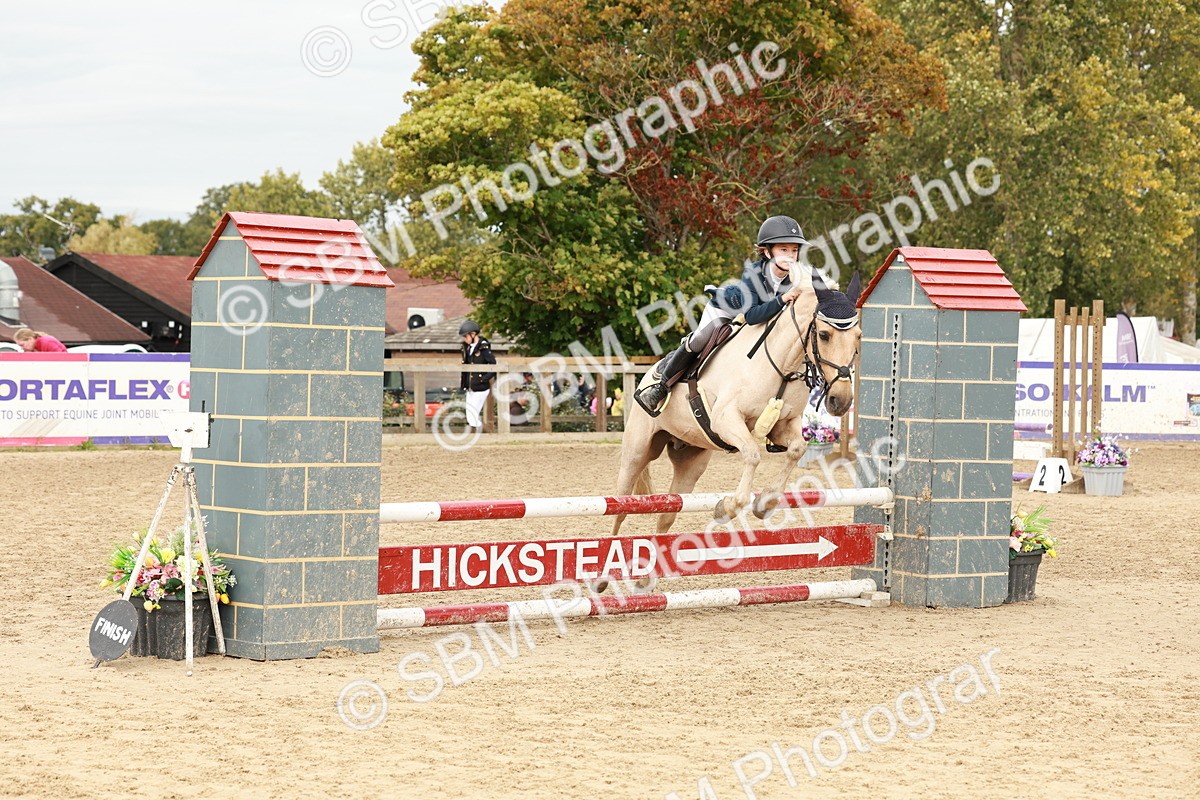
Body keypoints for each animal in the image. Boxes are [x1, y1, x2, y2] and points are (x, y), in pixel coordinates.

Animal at [612, 267, 862, 538]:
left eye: (858, 337)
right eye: (824, 335)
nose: (841, 400)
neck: (782, 364)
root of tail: (649, 371)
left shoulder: (783, 424)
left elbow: (797, 449)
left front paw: (765, 503)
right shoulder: (726, 418)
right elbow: (752, 455)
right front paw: (728, 507)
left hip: (691, 459)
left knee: (667, 514)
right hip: (636, 452)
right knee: (620, 507)